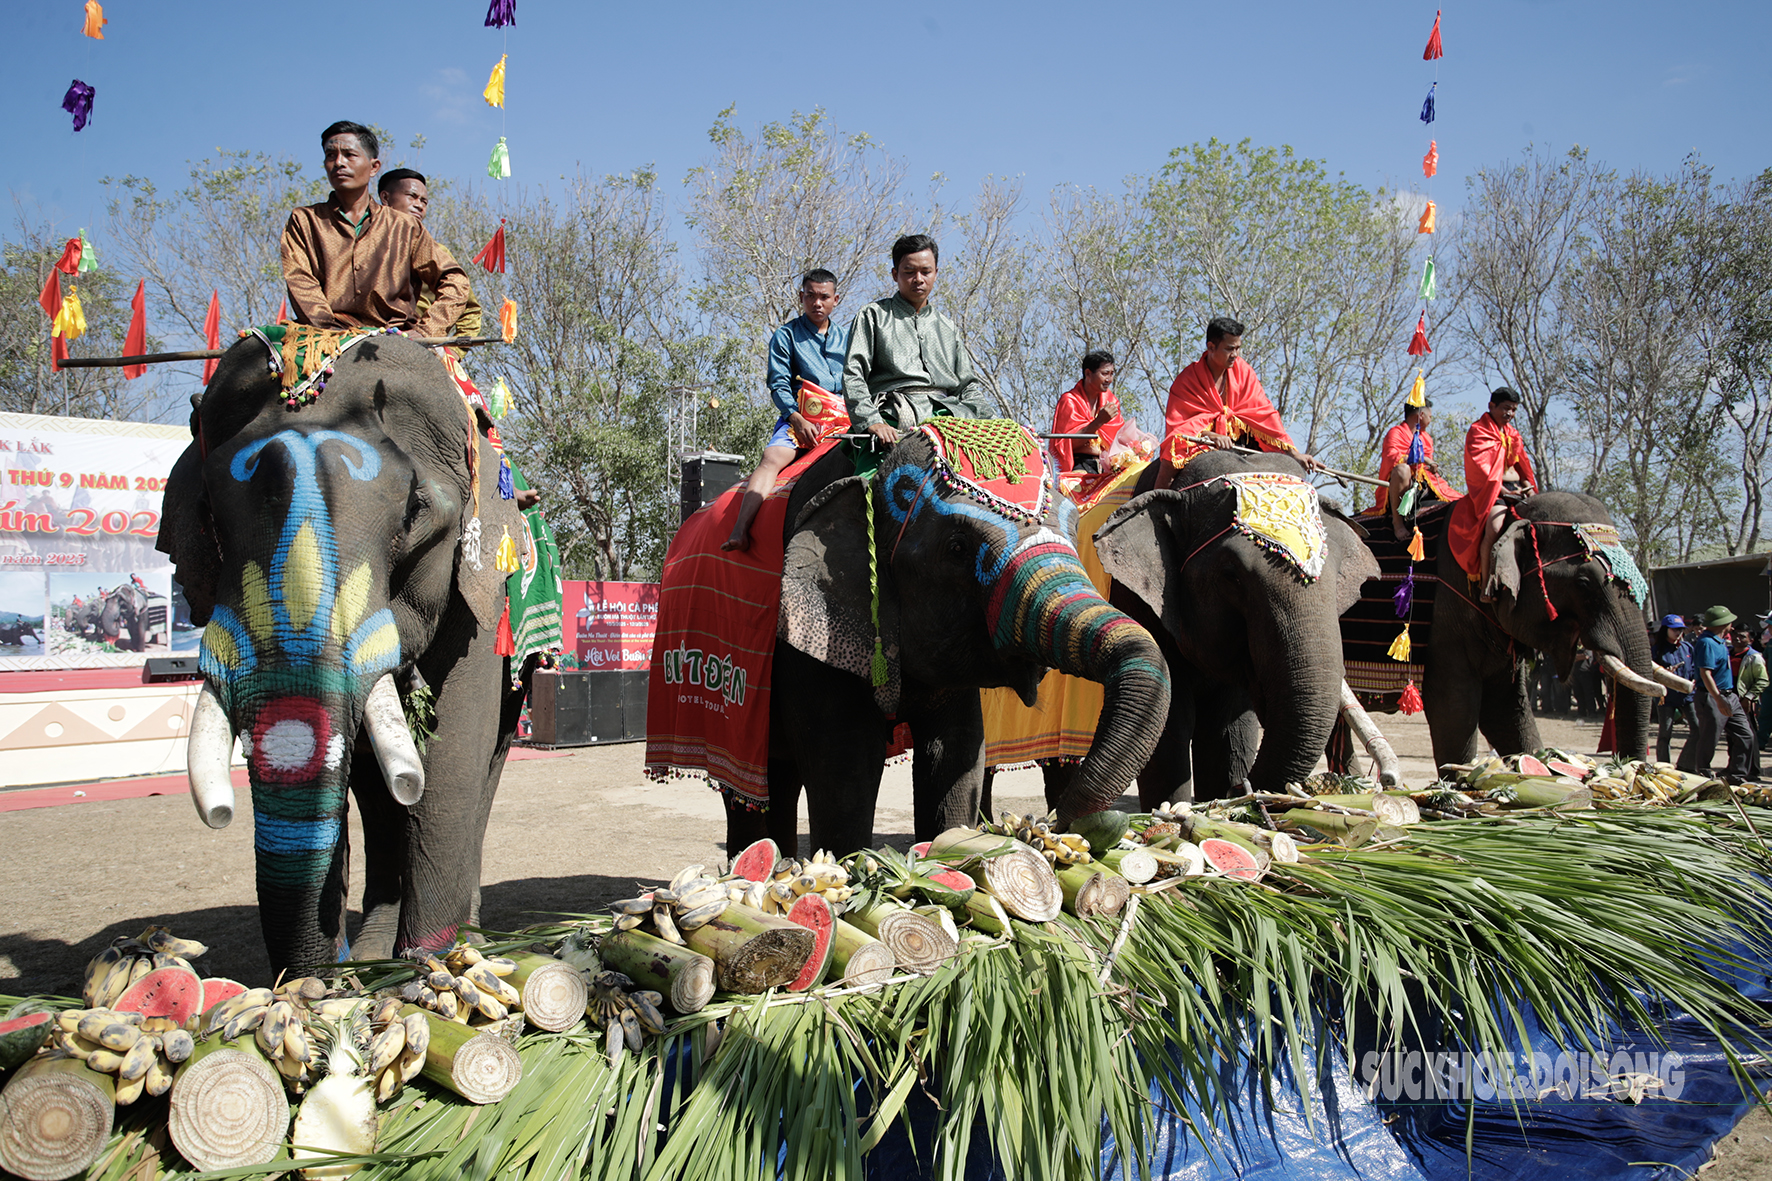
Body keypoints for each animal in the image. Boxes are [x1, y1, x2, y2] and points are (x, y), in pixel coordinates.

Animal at [157, 331, 524, 971]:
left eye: (416, 510)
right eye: (209, 516)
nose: (223, 814)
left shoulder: (482, 597)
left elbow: (453, 759)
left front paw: (431, 964)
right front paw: (381, 971)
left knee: (482, 766)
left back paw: (465, 941)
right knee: (377, 793)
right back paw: (380, 949)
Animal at [726, 423, 1169, 854]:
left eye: (1077, 530)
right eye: (957, 548)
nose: (1050, 824)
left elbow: (956, 751)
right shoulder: (809, 641)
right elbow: (846, 765)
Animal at [1091, 448, 1382, 801]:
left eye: (1339, 575)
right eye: (1231, 575)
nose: (1239, 788)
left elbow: (1228, 729)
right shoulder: (1136, 599)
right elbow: (1170, 723)